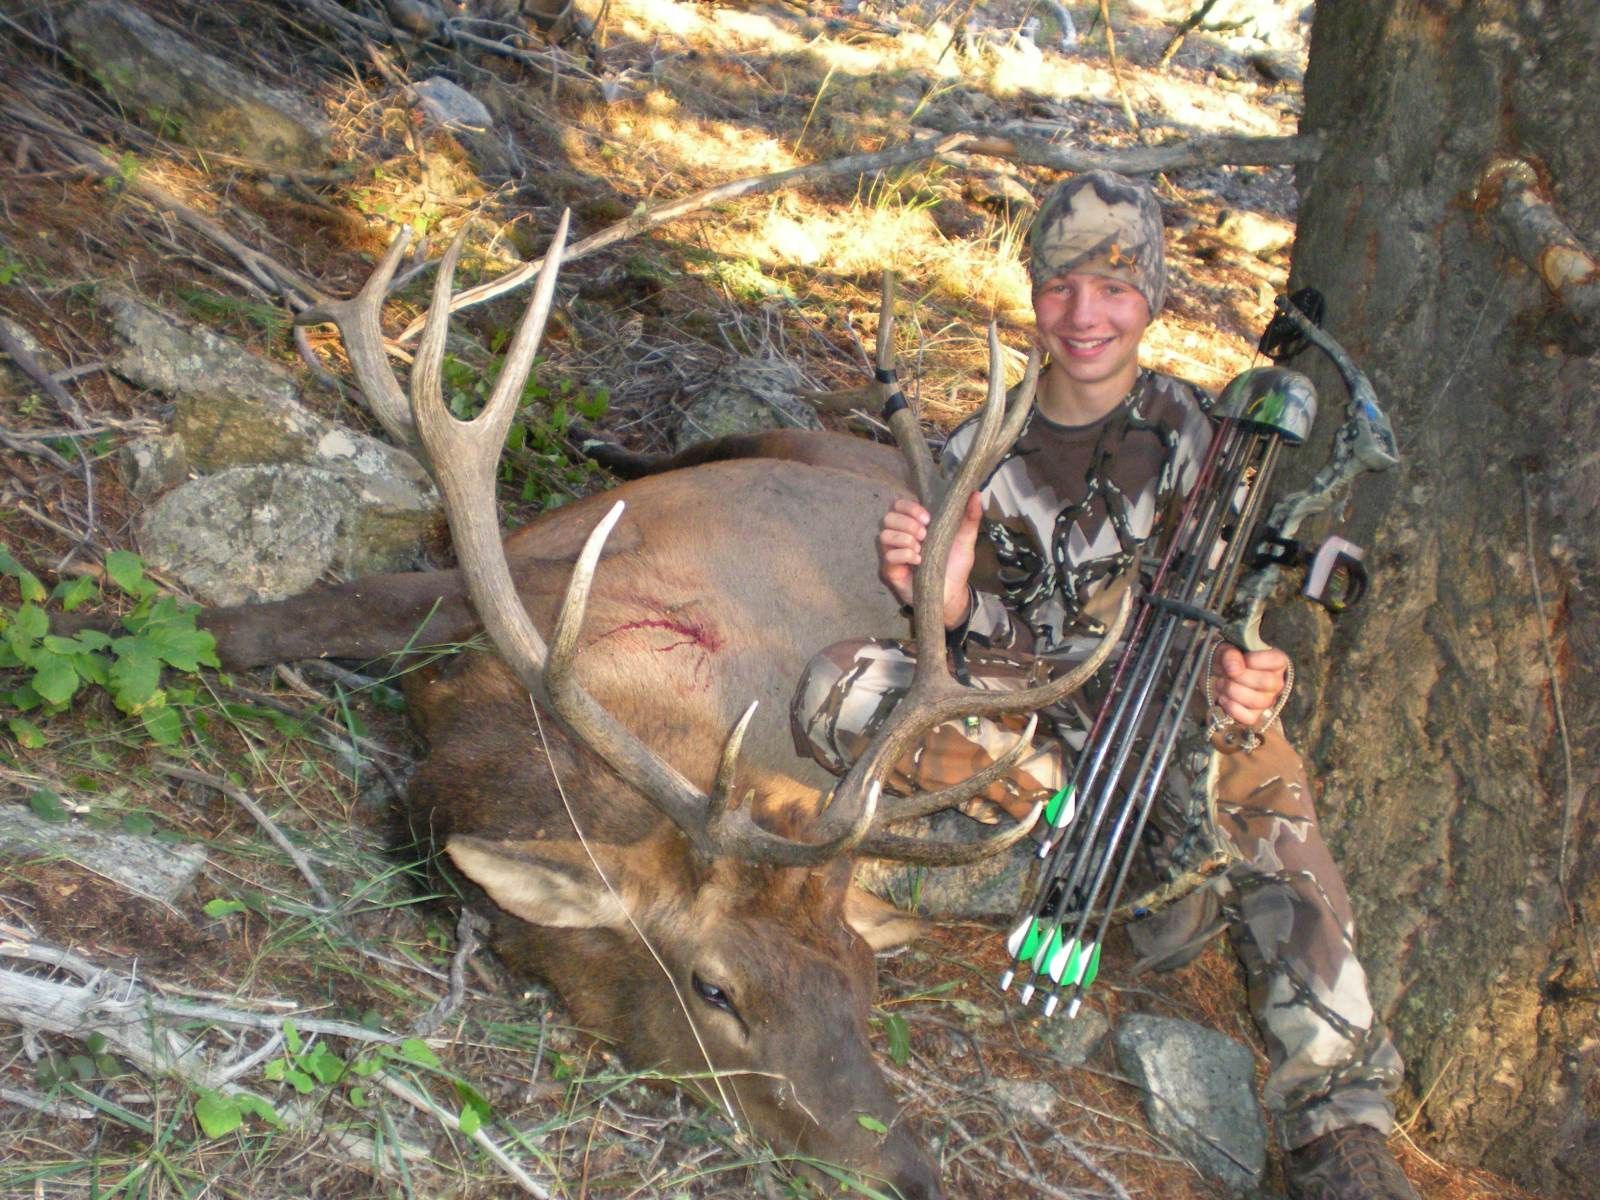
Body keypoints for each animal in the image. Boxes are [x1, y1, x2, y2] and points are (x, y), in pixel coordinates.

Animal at [196, 215, 1125, 1197]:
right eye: (716, 989)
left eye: (864, 982)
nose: (913, 1175)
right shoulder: (517, 583)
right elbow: (315, 611)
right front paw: (158, 617)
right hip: (765, 439)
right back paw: (594, 439)